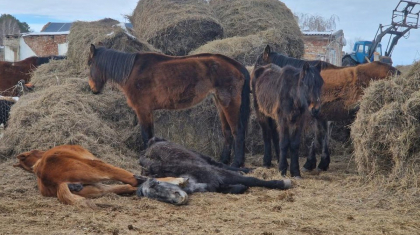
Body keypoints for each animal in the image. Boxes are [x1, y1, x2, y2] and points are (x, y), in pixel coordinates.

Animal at [86, 44, 249, 167]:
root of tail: (235, 64)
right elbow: (150, 135)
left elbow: (146, 135)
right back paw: (223, 161)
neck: (132, 72)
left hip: (229, 103)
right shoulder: (148, 111)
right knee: (227, 132)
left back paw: (236, 164)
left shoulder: (142, 110)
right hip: (220, 102)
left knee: (238, 131)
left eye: (90, 64)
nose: (93, 89)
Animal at [253, 45, 400, 172]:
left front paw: (310, 163)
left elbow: (315, 138)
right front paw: (322, 162)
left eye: (259, 61)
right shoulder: (321, 116)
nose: (254, 77)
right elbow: (322, 136)